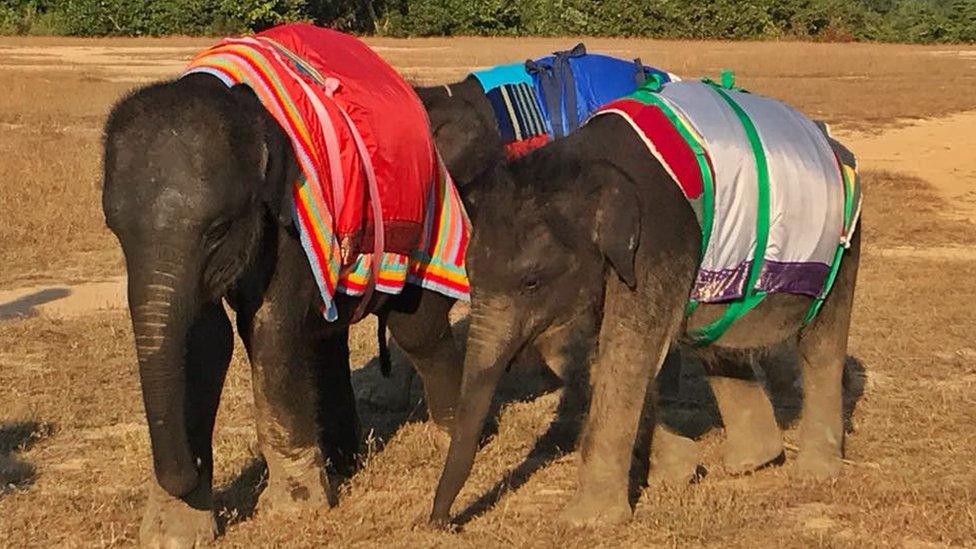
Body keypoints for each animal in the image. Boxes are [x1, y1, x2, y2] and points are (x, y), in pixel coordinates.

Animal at [105, 26, 470, 548]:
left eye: (218, 229)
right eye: (115, 231)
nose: (184, 471)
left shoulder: (294, 211)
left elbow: (270, 327)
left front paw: (296, 508)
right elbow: (202, 341)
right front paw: (174, 531)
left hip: (430, 220)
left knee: (415, 328)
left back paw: (452, 436)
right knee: (326, 336)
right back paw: (343, 462)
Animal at [428, 79, 860, 524]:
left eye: (531, 282)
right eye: (470, 274)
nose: (442, 522)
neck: (582, 160)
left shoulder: (657, 239)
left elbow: (628, 349)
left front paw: (587, 520)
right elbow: (599, 350)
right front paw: (679, 470)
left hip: (845, 244)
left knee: (820, 346)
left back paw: (814, 472)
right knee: (714, 339)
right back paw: (753, 460)